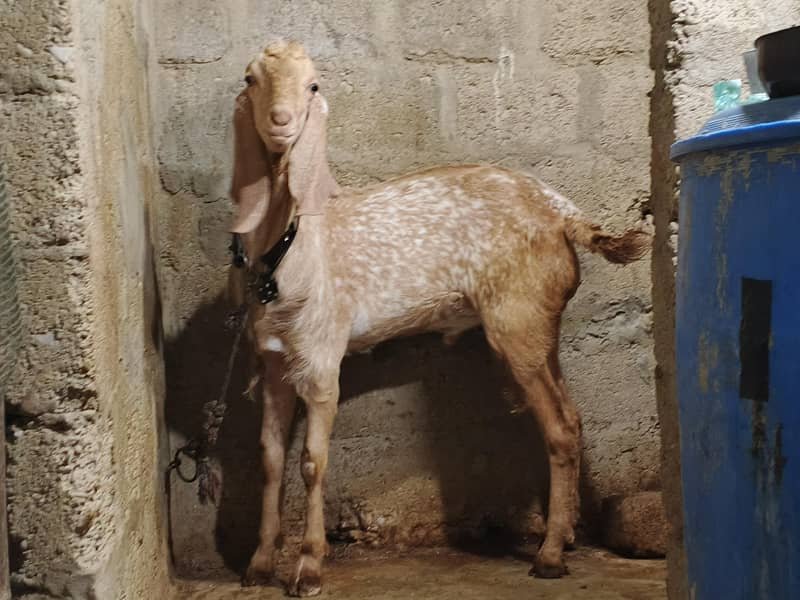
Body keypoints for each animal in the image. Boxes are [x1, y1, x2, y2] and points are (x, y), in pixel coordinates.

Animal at [228, 40, 649, 597]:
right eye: (250, 79)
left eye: (313, 84)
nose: (281, 121)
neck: (291, 246)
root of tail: (563, 214)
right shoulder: (274, 361)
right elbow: (270, 459)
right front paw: (258, 564)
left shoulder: (320, 356)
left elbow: (312, 462)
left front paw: (310, 567)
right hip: (540, 325)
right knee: (572, 417)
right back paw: (568, 536)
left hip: (515, 320)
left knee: (558, 428)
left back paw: (550, 555)